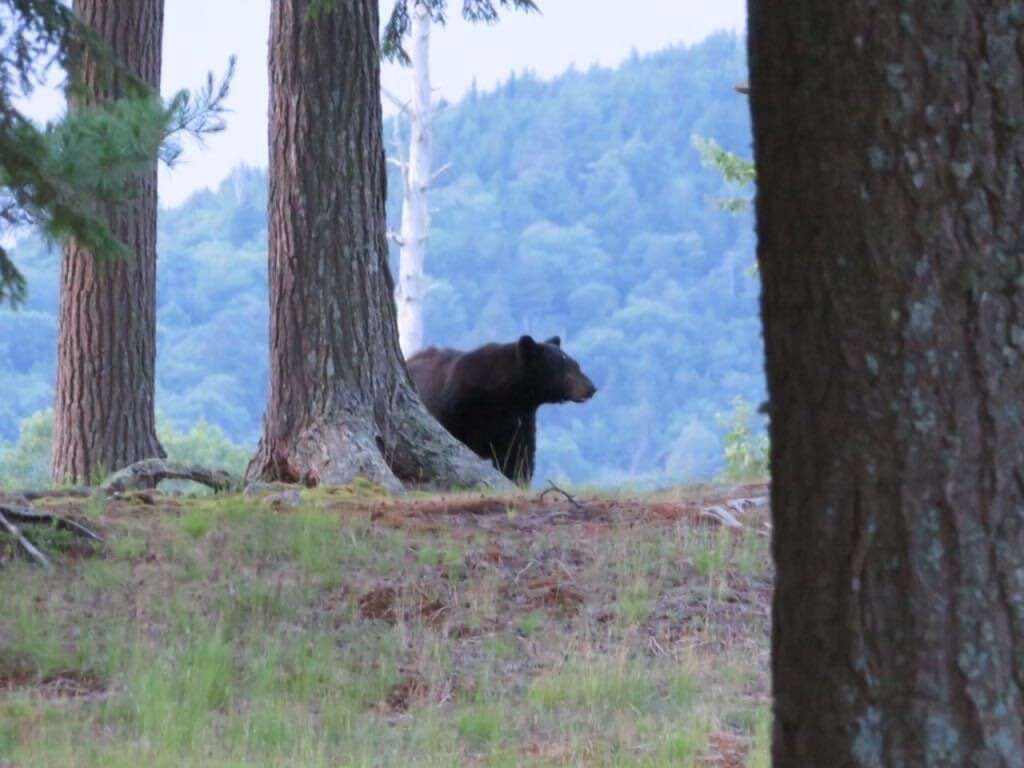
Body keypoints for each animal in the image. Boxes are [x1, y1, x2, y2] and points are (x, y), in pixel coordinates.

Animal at [407, 337, 598, 487]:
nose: (591, 388)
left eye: (576, 365)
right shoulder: (458, 408)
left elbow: (518, 455)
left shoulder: (519, 420)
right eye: (565, 369)